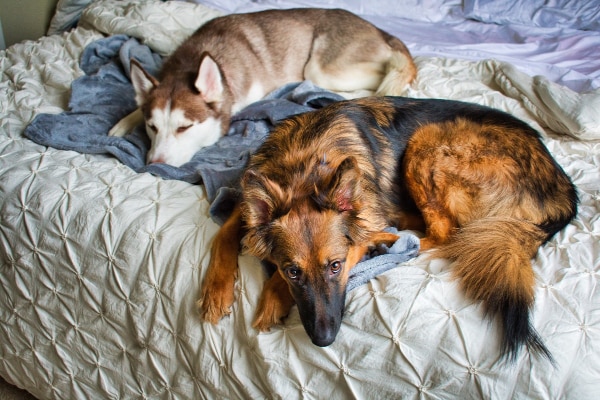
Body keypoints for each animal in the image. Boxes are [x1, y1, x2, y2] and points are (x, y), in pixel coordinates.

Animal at [110, 7, 414, 167]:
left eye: (184, 128)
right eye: (152, 127)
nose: (154, 164)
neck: (197, 59)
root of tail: (383, 33)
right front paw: (122, 123)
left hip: (323, 69)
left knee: (385, 78)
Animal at [199, 95, 580, 360]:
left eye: (335, 266)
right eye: (294, 271)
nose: (324, 339)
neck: (303, 167)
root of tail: (565, 191)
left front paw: (271, 299)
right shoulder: (248, 205)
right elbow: (222, 233)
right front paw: (215, 292)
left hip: (428, 142)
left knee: (446, 236)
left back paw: (392, 238)